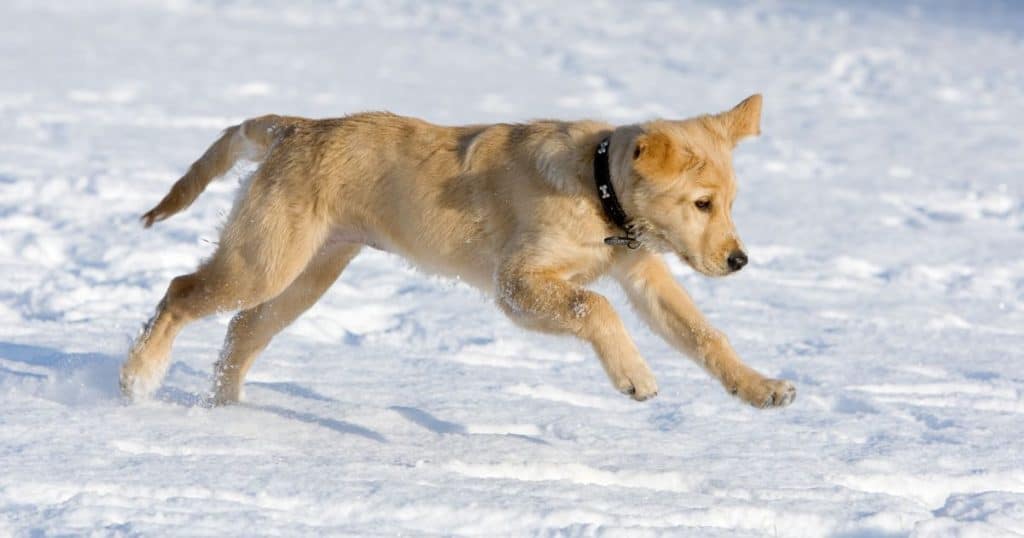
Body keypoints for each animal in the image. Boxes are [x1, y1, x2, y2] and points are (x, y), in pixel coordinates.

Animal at [116, 93, 794, 407]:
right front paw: (634, 374)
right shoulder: (516, 287)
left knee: (242, 330)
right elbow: (594, 307)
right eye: (702, 204)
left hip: (308, 273)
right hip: (265, 261)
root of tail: (298, 127)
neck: (597, 189)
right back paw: (138, 377)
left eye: (731, 203)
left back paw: (227, 412)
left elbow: (704, 336)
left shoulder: (644, 273)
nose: (739, 261)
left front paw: (758, 387)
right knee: (180, 292)